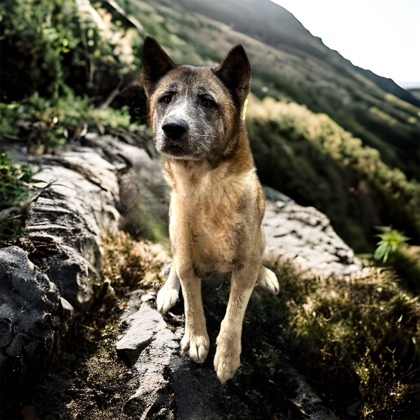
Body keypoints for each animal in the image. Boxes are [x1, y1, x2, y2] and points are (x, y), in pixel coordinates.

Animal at [141, 37, 278, 384]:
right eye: (166, 98)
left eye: (207, 101)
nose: (172, 128)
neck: (206, 189)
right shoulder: (186, 256)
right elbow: (192, 296)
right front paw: (196, 337)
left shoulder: (245, 263)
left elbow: (234, 311)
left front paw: (227, 356)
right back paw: (167, 290)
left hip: (261, 237)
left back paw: (266, 275)